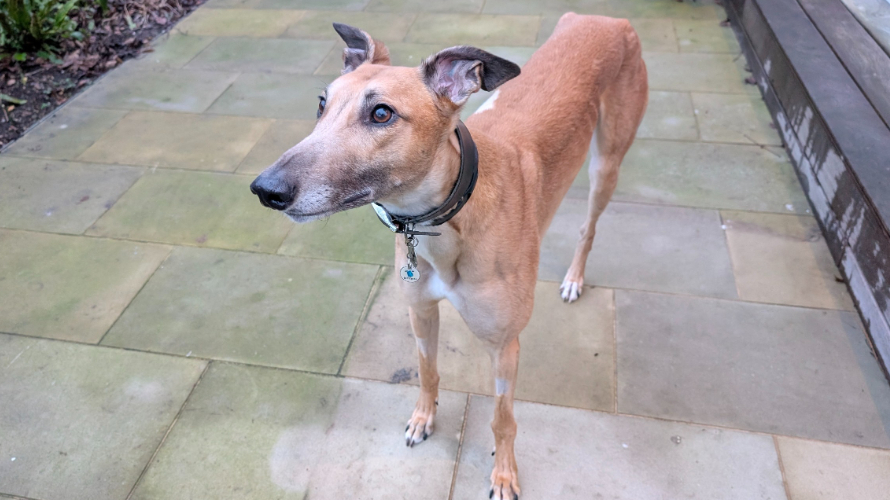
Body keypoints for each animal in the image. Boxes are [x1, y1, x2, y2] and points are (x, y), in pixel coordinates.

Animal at [250, 13, 647, 499]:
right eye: (321, 103)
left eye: (381, 113)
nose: (266, 190)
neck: (448, 225)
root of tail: (605, 18)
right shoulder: (420, 312)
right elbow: (427, 371)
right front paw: (423, 419)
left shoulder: (505, 344)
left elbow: (503, 419)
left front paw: (504, 475)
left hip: (607, 162)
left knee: (588, 227)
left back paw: (573, 277)